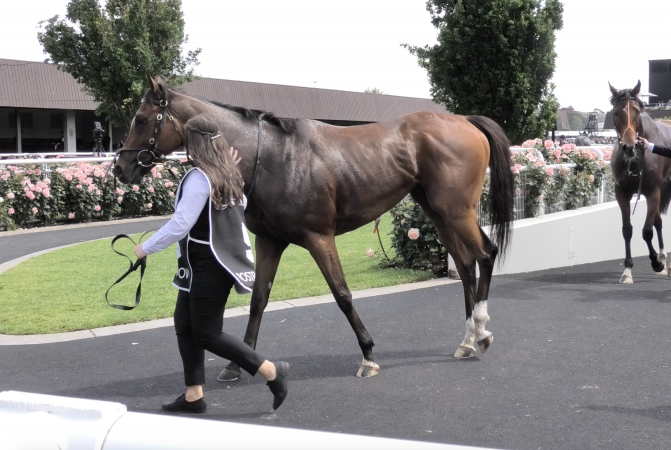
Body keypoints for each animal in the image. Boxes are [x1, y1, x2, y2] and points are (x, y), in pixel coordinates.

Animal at [114, 75, 516, 378]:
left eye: (141, 119)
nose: (120, 168)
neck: (271, 158)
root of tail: (464, 121)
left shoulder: (319, 237)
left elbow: (342, 294)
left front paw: (368, 355)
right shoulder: (269, 241)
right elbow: (259, 299)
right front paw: (236, 364)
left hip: (456, 210)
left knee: (485, 254)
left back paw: (481, 331)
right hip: (437, 212)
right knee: (465, 264)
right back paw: (468, 340)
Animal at [612, 81, 671, 284]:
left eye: (637, 112)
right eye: (616, 112)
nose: (629, 147)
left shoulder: (653, 191)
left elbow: (646, 231)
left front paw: (656, 263)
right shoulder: (621, 192)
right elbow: (627, 229)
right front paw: (627, 269)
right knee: (658, 222)